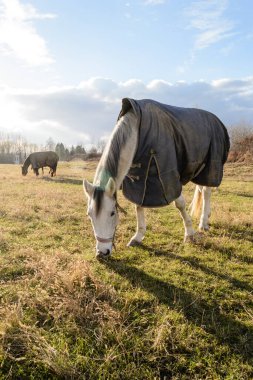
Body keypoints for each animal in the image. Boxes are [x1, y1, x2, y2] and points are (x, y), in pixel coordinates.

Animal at [83, 98, 229, 258]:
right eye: (89, 215)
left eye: (112, 213)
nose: (102, 253)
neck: (137, 133)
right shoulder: (140, 180)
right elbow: (138, 206)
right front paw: (138, 237)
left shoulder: (168, 178)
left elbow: (180, 204)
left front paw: (190, 234)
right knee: (202, 190)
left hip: (211, 167)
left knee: (207, 192)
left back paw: (203, 223)